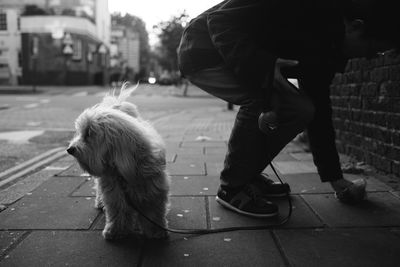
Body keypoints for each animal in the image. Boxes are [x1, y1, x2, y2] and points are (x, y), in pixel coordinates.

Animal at [67, 85, 169, 241]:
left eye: (88, 134)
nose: (70, 149)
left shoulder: (153, 190)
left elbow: (154, 212)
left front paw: (156, 231)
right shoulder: (114, 193)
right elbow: (118, 212)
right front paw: (116, 231)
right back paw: (100, 203)